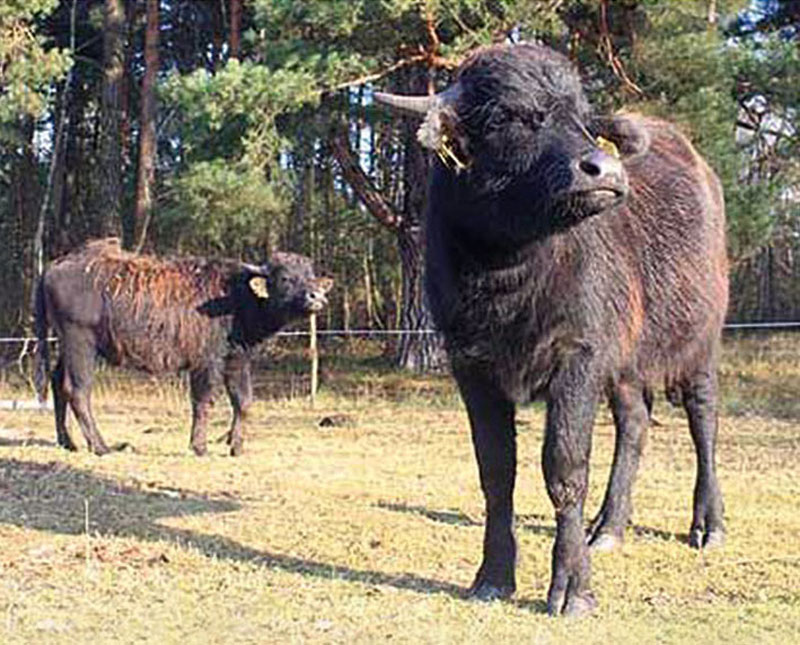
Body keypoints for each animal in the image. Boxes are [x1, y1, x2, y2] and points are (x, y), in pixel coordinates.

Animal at [34, 239, 332, 456]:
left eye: (310, 275)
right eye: (285, 278)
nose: (316, 296)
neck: (236, 297)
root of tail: (54, 265)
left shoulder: (236, 360)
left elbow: (243, 401)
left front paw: (236, 447)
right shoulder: (206, 363)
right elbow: (203, 401)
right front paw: (199, 446)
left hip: (67, 346)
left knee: (57, 382)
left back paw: (68, 442)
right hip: (81, 343)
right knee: (78, 390)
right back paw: (100, 446)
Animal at [378, 42, 728, 616]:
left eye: (583, 119)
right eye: (506, 116)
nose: (602, 169)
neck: (506, 274)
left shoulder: (577, 357)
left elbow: (564, 469)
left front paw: (571, 587)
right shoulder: (470, 366)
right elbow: (496, 472)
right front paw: (493, 575)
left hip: (699, 340)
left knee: (704, 420)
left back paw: (708, 524)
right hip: (625, 362)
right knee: (635, 423)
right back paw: (608, 528)